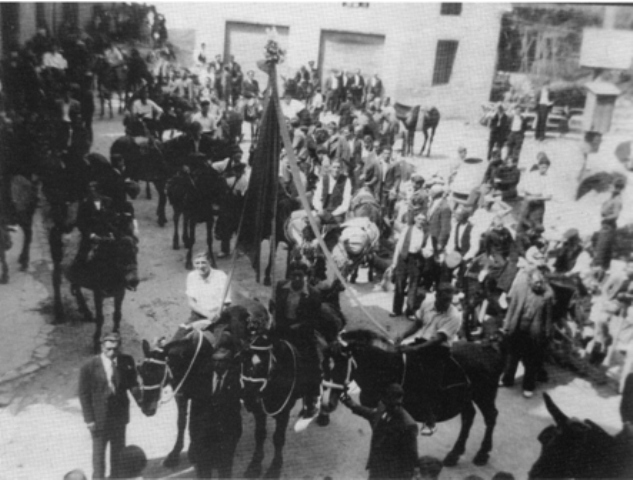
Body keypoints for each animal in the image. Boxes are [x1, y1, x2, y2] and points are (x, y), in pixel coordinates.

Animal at [320, 328, 504, 466]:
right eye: (324, 364)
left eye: (341, 365)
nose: (327, 404)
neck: (387, 365)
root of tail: (489, 347)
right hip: (466, 397)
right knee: (469, 417)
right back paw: (454, 455)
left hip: (484, 395)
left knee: (491, 416)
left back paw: (482, 454)